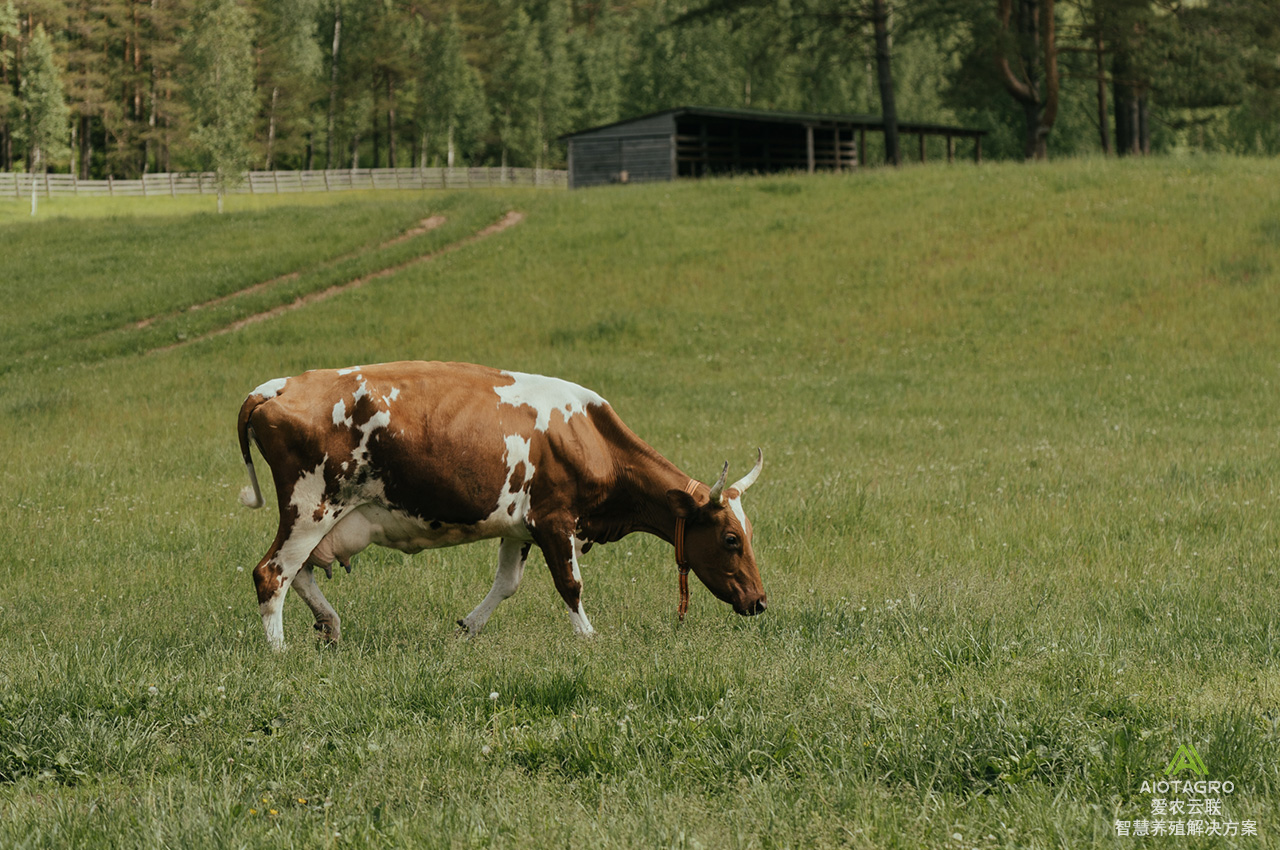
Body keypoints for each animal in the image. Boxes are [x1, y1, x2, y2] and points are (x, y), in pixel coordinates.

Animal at [235, 360, 762, 650]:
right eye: (730, 539)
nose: (760, 601)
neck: (585, 433)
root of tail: (280, 385)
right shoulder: (554, 519)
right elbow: (570, 585)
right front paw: (588, 638)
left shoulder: (518, 527)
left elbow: (507, 584)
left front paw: (467, 628)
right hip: (311, 507)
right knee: (273, 573)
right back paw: (279, 651)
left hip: (320, 519)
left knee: (299, 572)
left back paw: (329, 625)